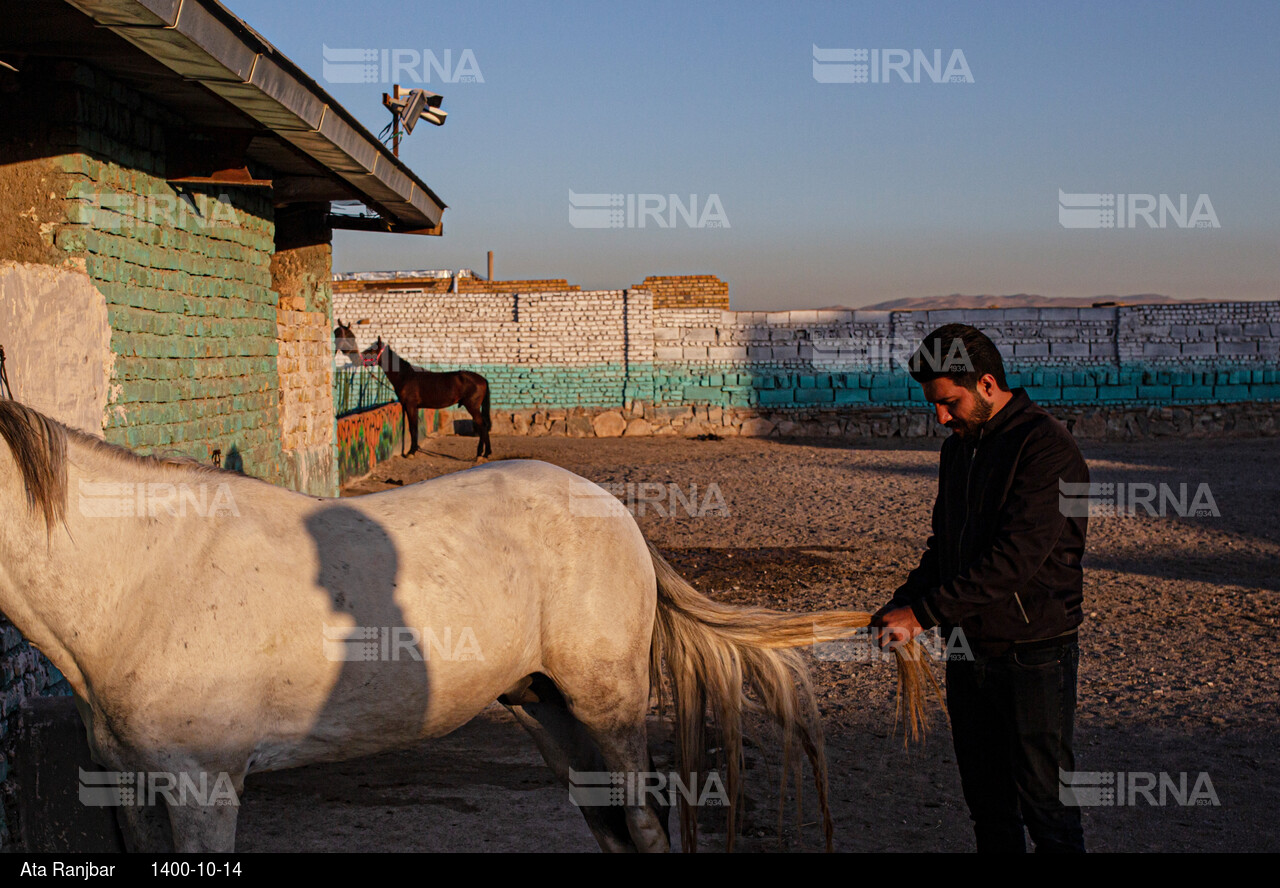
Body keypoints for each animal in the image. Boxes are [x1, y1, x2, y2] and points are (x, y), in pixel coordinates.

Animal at [2, 399, 942, 854]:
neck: (144, 576)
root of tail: (617, 515)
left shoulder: (206, 788)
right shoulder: (128, 792)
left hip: (606, 709)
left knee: (643, 829)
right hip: (547, 712)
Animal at [332, 319, 491, 458]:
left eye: (371, 350)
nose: (355, 358)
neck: (405, 375)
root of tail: (482, 379)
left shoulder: (411, 406)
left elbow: (412, 427)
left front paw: (411, 452)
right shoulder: (407, 406)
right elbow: (409, 427)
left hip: (472, 406)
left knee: (482, 425)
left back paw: (482, 454)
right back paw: (483, 452)